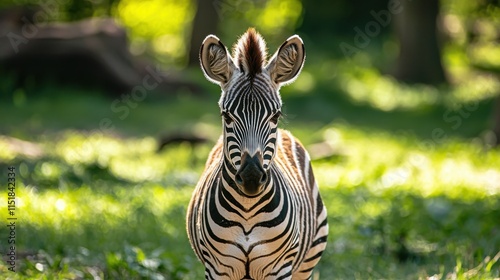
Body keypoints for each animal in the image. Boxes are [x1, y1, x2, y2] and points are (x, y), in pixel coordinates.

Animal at [187, 29, 328, 280]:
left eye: (275, 115)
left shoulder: (279, 269)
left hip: (308, 260)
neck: (247, 211)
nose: (251, 177)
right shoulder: (217, 269)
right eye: (226, 115)